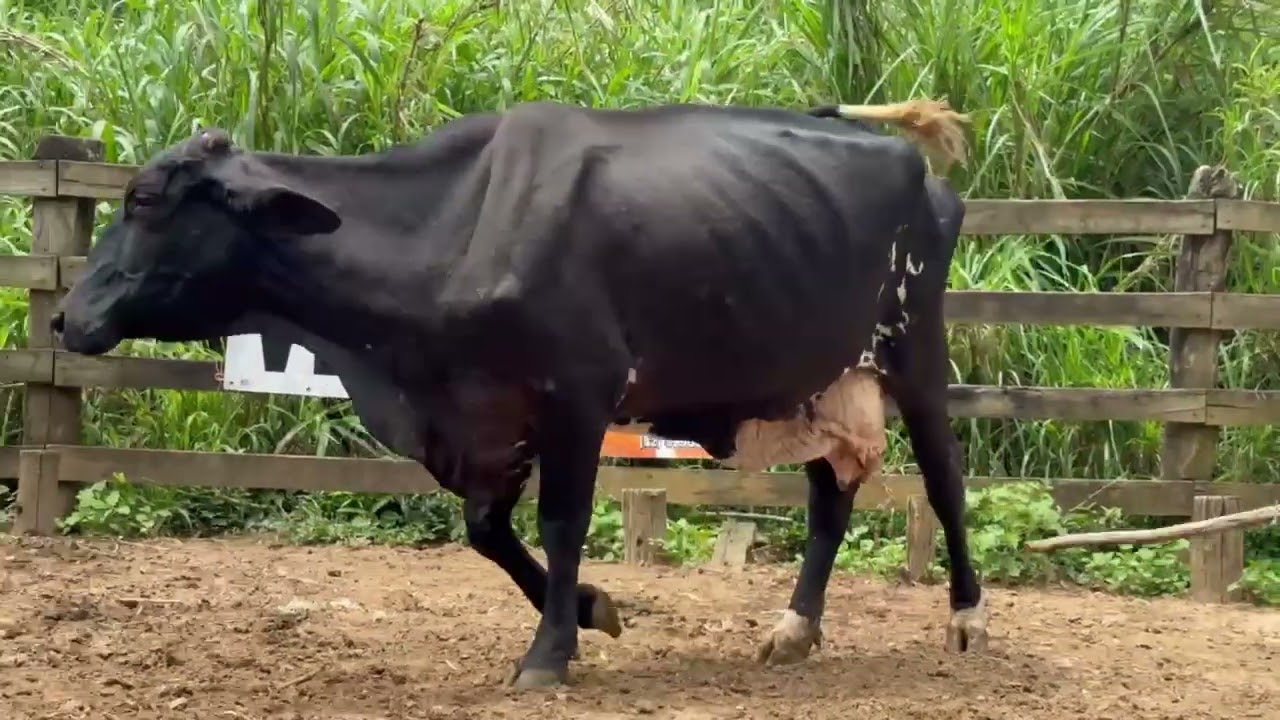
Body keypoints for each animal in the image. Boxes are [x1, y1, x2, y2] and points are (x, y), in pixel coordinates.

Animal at [51, 97, 987, 689]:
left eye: (145, 200)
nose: (64, 317)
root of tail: (916, 167)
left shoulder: (578, 396)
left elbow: (561, 523)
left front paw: (550, 652)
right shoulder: (487, 421)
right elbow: (486, 533)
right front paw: (594, 610)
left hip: (915, 349)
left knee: (944, 478)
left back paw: (968, 620)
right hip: (819, 379)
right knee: (831, 497)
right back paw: (794, 629)